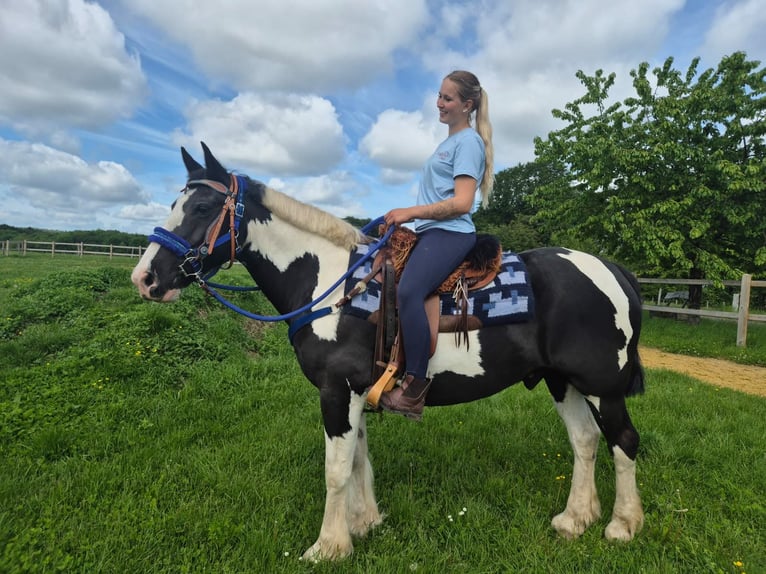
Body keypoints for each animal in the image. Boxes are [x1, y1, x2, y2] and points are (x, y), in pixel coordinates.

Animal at [131, 143, 646, 561]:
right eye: (175, 202)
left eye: (201, 205)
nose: (145, 278)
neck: (331, 284)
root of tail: (612, 269)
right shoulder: (355, 391)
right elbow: (358, 459)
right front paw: (362, 524)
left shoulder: (336, 390)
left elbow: (335, 470)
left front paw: (328, 546)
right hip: (564, 382)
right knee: (585, 440)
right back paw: (574, 520)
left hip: (603, 387)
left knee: (623, 441)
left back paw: (622, 525)